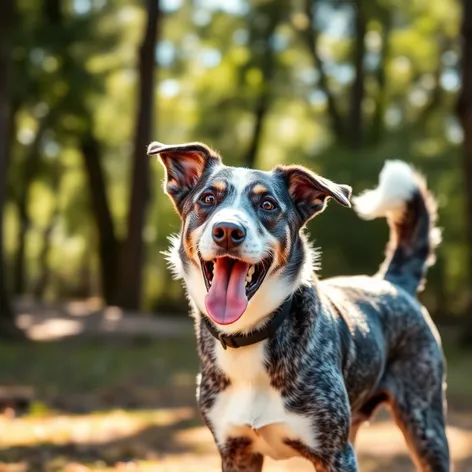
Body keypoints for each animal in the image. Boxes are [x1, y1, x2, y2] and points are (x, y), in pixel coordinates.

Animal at [148, 141, 450, 472]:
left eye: (268, 205)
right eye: (208, 199)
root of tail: (393, 282)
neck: (249, 336)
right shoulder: (236, 452)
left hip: (425, 425)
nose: (227, 230)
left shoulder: (336, 454)